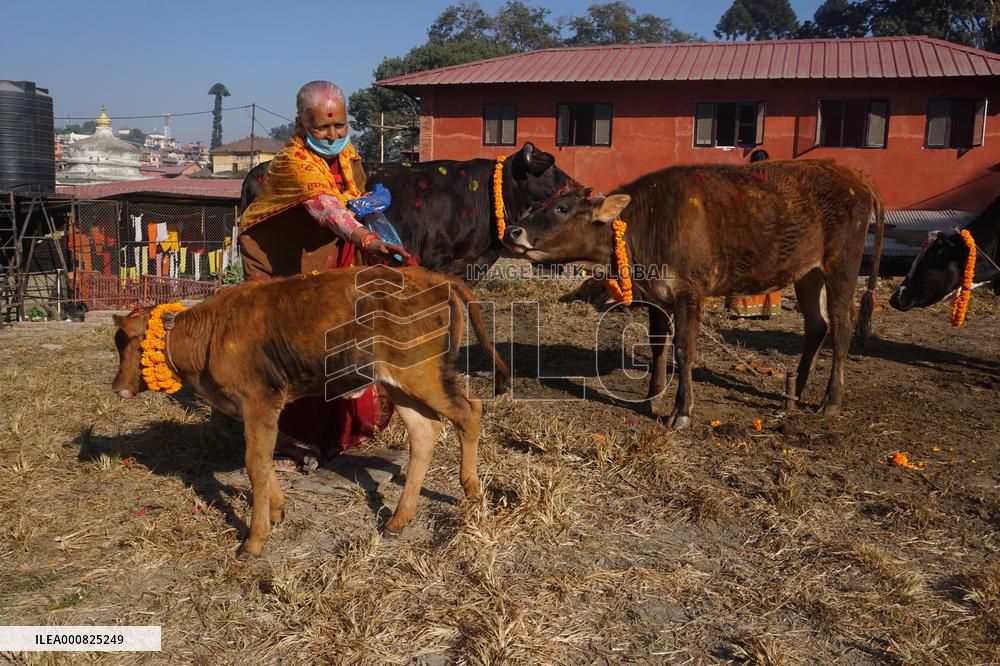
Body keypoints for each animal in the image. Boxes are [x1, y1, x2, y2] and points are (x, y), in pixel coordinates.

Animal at [112, 266, 510, 558]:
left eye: (126, 342)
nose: (117, 386)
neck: (210, 334)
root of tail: (432, 277)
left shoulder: (260, 402)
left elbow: (255, 465)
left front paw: (254, 540)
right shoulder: (257, 410)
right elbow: (262, 460)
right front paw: (276, 510)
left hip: (422, 377)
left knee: (469, 412)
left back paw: (472, 490)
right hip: (400, 385)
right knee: (424, 432)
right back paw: (398, 520)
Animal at [503, 159, 885, 429]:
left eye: (562, 209)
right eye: (534, 207)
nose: (513, 231)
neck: (650, 221)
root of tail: (852, 175)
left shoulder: (690, 293)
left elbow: (684, 349)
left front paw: (680, 411)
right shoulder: (655, 295)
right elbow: (658, 343)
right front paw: (653, 395)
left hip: (842, 266)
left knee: (841, 327)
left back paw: (831, 401)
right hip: (807, 273)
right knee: (817, 325)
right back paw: (798, 389)